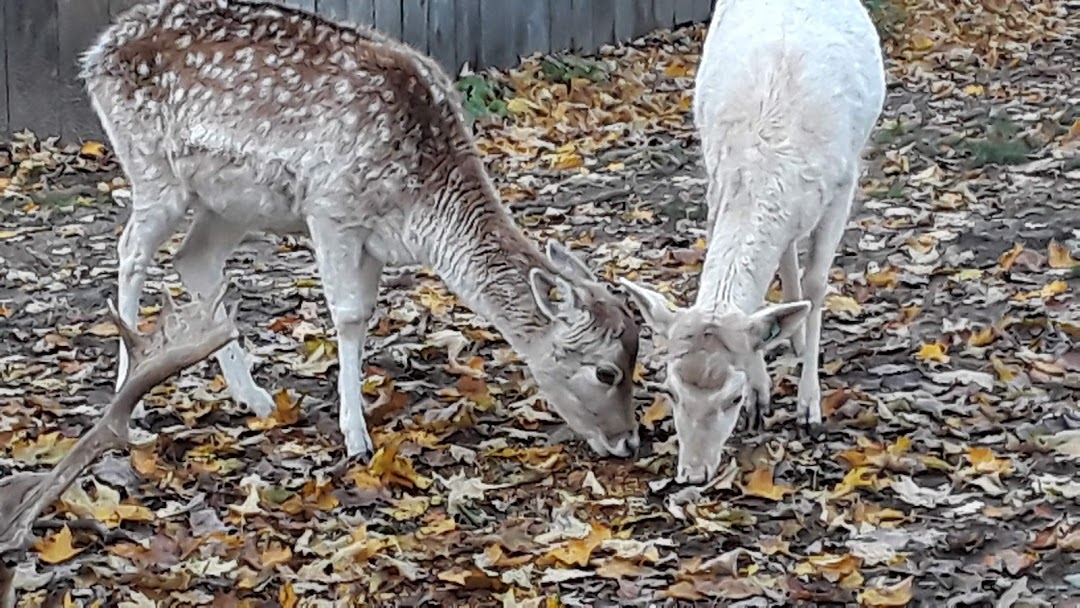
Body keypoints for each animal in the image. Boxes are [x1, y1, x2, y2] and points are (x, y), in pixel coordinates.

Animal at [86, 0, 639, 460]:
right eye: (605, 371)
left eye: (638, 356)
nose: (628, 443)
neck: (421, 210)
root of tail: (96, 51)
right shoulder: (333, 209)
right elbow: (349, 316)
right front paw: (356, 438)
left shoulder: (374, 241)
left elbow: (366, 315)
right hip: (153, 168)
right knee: (131, 251)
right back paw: (131, 404)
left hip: (233, 201)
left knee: (194, 258)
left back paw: (255, 398)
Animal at [622, 0, 881, 485]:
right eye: (671, 389)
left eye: (731, 397)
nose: (693, 474)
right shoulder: (716, 184)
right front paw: (764, 396)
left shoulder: (844, 183)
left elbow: (818, 284)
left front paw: (809, 407)